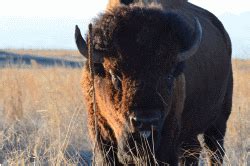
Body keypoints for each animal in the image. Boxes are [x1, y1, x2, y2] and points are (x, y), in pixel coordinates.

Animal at [75, 1, 233, 165]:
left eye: (169, 75)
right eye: (114, 74)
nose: (146, 122)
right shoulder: (101, 135)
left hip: (219, 122)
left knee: (214, 151)